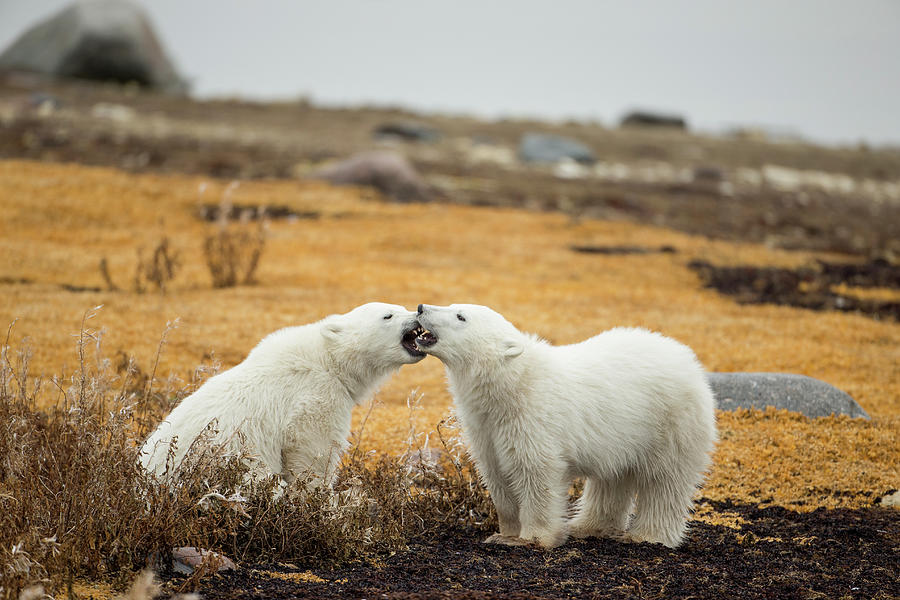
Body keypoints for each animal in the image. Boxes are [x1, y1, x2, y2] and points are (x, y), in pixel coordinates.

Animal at [139, 304, 428, 488]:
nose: (417, 313)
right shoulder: (313, 396)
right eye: (388, 315)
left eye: (401, 306)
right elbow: (313, 453)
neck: (328, 359)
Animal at [414, 304, 716, 548]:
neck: (512, 385)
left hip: (672, 421)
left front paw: (532, 539)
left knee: (665, 480)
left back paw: (647, 535)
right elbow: (497, 476)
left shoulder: (532, 419)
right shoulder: (486, 429)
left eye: (460, 316)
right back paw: (588, 527)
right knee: (614, 477)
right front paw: (503, 534)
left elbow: (537, 474)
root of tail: (690, 362)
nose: (420, 307)